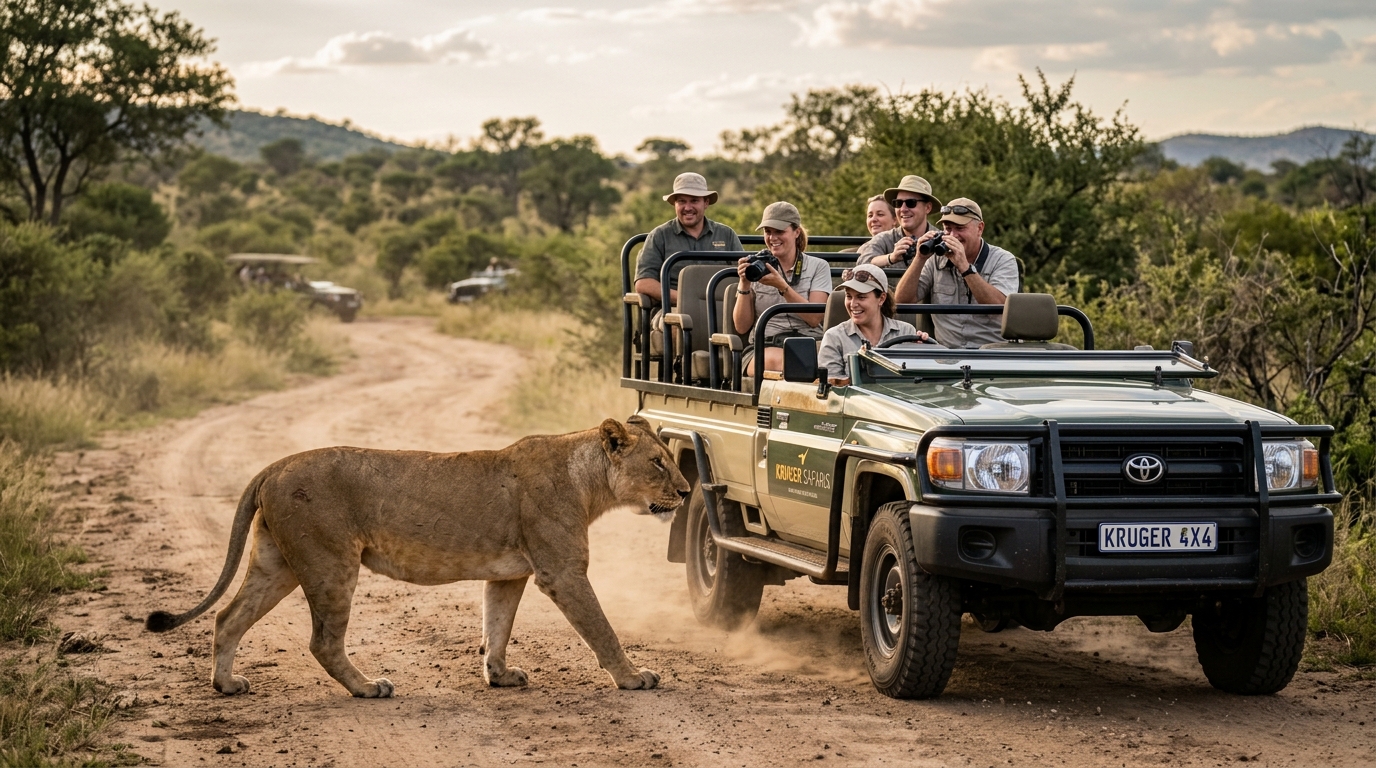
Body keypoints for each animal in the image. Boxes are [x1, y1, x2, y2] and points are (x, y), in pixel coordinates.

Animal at [146, 416, 689, 698]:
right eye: (658, 463)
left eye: (672, 458)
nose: (686, 492)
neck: (589, 482)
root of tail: (274, 465)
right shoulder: (562, 573)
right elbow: (602, 629)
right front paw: (633, 677)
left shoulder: (509, 575)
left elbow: (496, 626)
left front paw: (499, 675)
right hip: (330, 562)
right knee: (322, 641)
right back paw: (368, 688)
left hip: (276, 563)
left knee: (228, 617)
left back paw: (226, 684)